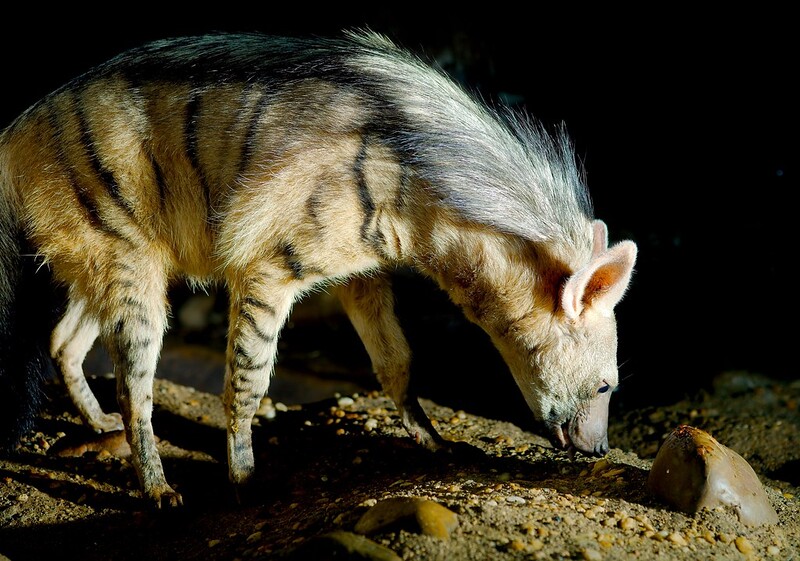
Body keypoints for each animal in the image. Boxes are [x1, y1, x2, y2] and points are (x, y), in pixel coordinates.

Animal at [0, 30, 637, 508]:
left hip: (113, 253)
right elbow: (249, 381)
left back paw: (98, 424)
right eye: (607, 385)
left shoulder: (363, 271)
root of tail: (15, 132)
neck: (414, 187)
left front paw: (433, 442)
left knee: (64, 340)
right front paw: (244, 479)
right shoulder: (267, 266)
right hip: (125, 253)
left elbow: (397, 360)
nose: (603, 449)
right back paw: (157, 488)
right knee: (135, 381)